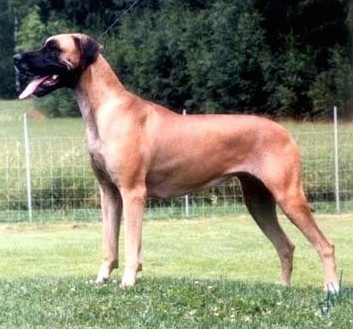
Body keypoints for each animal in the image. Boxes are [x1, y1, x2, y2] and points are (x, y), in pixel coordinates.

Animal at [13, 32, 338, 290]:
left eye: (52, 49)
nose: (16, 58)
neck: (105, 108)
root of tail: (285, 131)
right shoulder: (109, 193)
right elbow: (109, 243)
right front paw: (102, 278)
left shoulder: (133, 192)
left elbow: (132, 245)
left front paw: (128, 281)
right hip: (257, 200)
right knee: (286, 245)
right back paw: (283, 289)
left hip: (288, 195)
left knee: (325, 245)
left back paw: (331, 288)